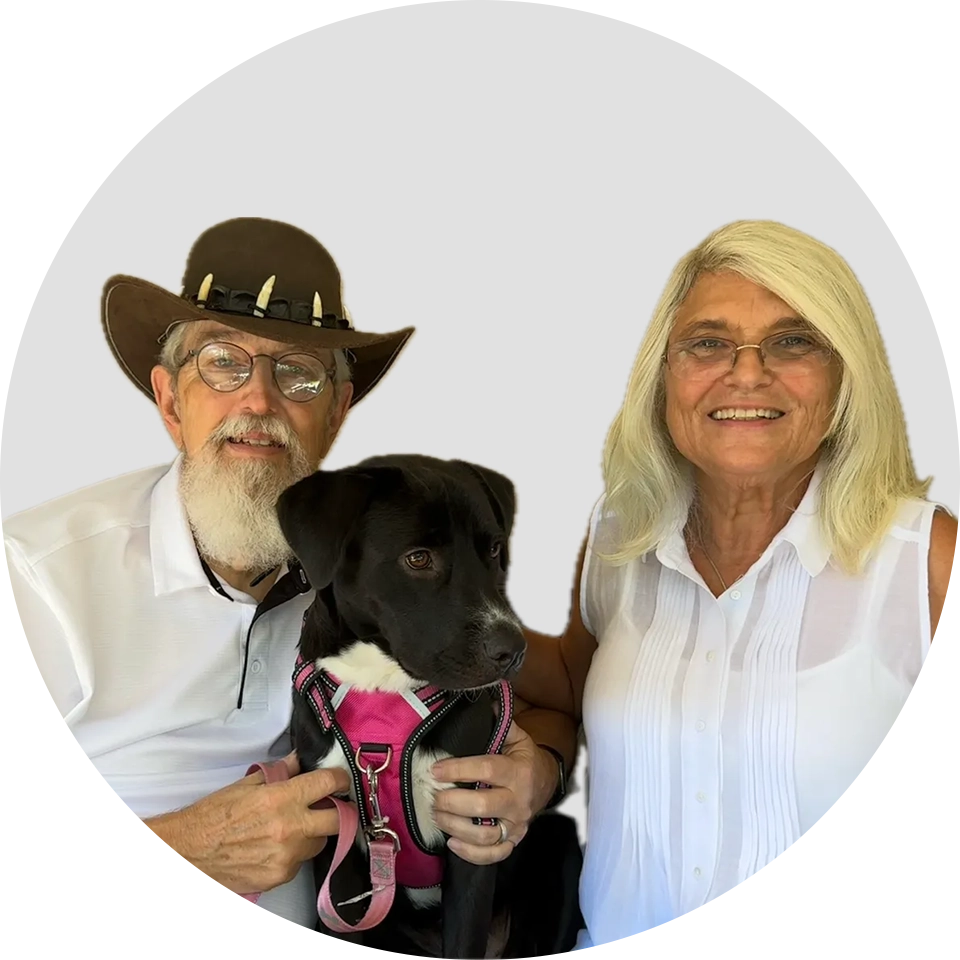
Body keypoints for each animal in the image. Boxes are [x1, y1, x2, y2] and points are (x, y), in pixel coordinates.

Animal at [274, 454, 556, 956]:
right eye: (418, 558)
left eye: (494, 550)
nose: (513, 650)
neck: (382, 689)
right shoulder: (337, 845)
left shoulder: (474, 834)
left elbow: (464, 940)